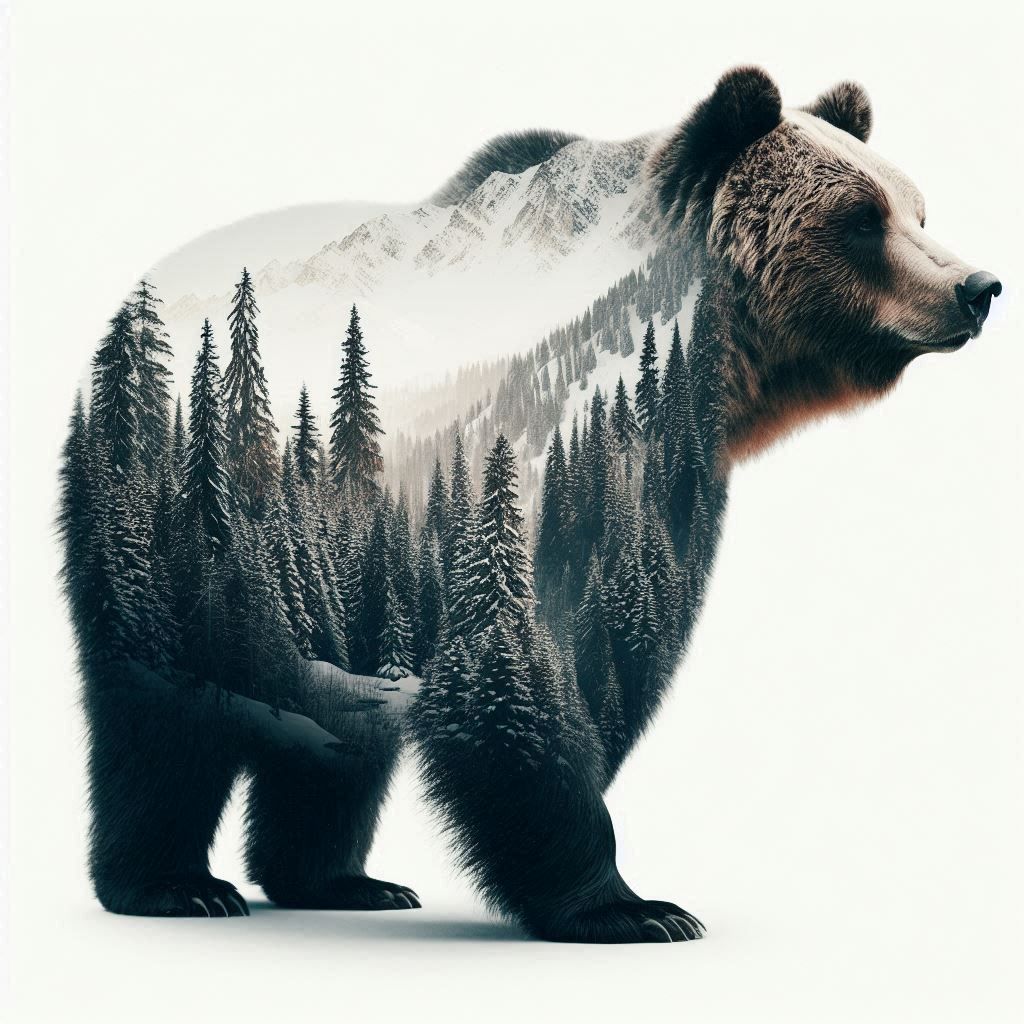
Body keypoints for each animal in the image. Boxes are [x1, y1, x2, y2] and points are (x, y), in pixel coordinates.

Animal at [58, 66, 1001, 942]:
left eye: (918, 209)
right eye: (862, 217)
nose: (978, 287)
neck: (715, 365)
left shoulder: (659, 472)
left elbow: (624, 634)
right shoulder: (515, 469)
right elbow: (514, 669)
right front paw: (632, 906)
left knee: (329, 741)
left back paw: (339, 880)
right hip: (166, 502)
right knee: (164, 711)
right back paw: (175, 884)